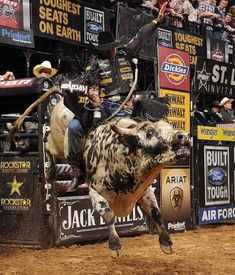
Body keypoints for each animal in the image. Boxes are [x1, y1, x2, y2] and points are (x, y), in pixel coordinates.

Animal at [9, 88, 189, 258]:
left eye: (170, 127)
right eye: (149, 133)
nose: (183, 136)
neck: (121, 154)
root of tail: (60, 100)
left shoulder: (144, 190)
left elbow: (156, 212)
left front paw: (166, 242)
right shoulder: (96, 192)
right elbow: (109, 215)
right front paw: (115, 246)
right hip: (57, 142)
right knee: (46, 141)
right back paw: (49, 172)